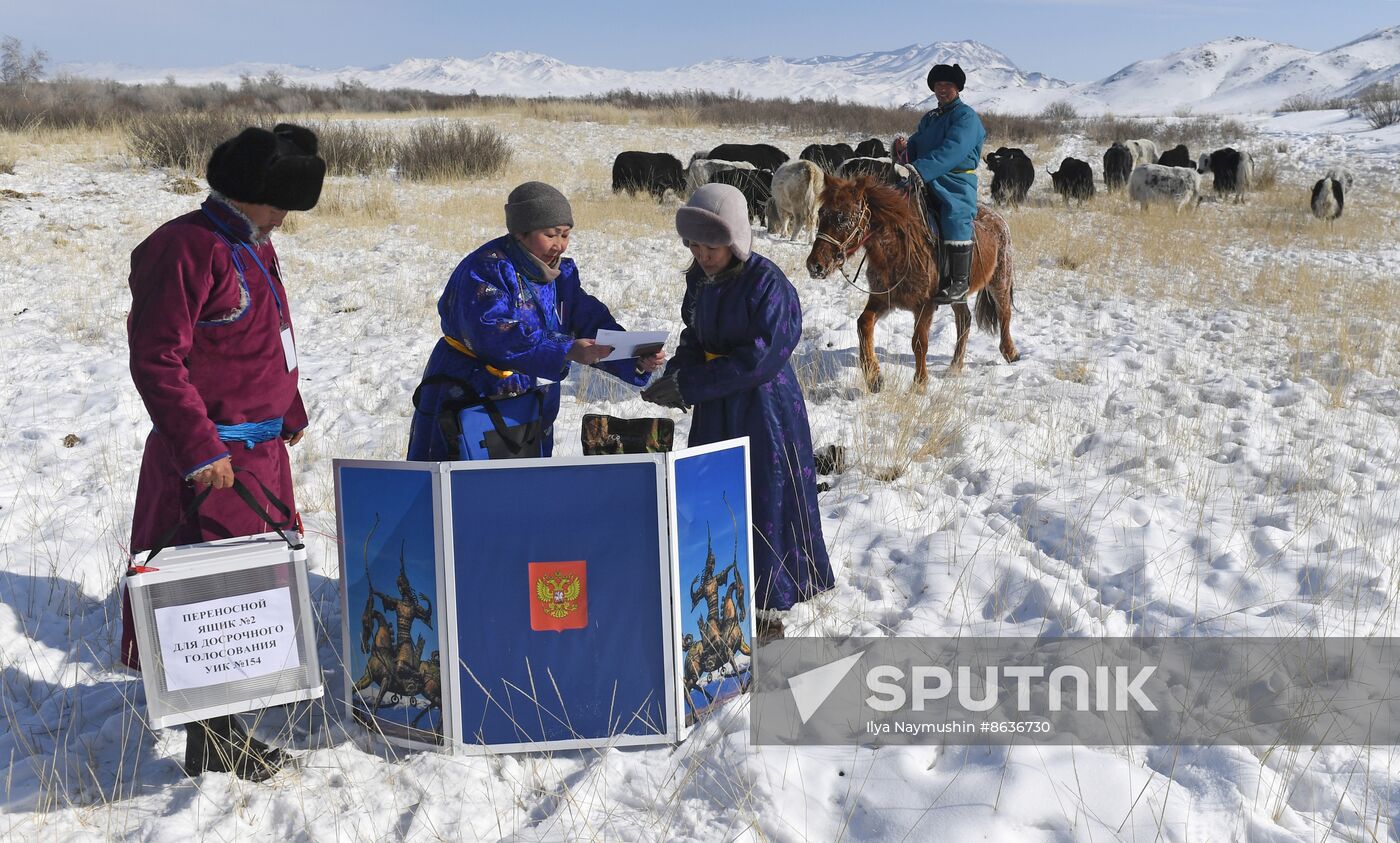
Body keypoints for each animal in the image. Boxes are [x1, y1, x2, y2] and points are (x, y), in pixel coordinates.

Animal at [806, 175, 1024, 389]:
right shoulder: (882, 299)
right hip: (959, 296)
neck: (899, 251)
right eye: (821, 213)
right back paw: (955, 367)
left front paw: (920, 383)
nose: (814, 265)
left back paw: (1010, 352)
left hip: (1000, 280)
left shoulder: (925, 306)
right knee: (964, 319)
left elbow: (919, 342)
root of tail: (998, 219)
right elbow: (863, 324)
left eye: (842, 217)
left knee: (1004, 312)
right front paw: (874, 377)